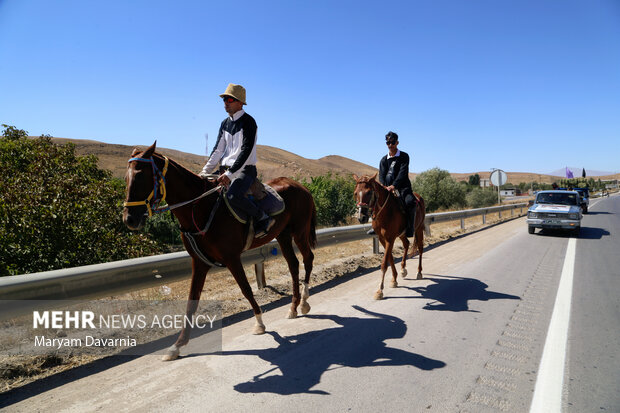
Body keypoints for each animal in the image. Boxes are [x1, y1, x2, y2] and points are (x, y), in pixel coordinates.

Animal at [121, 141, 318, 358]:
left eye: (141, 176)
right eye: (126, 178)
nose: (129, 219)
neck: (201, 209)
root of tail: (301, 186)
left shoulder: (232, 258)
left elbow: (246, 289)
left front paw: (259, 322)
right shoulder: (199, 263)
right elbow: (192, 301)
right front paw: (177, 345)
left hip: (299, 232)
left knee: (308, 258)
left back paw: (304, 302)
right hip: (283, 235)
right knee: (293, 264)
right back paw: (293, 307)